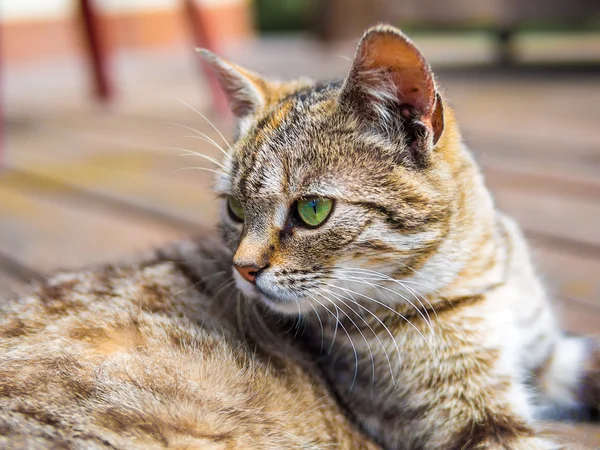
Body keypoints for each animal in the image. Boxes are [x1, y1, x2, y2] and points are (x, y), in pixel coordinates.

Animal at [203, 24, 600, 450]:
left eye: (312, 208)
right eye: (235, 208)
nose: (243, 268)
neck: (480, 279)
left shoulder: (550, 356)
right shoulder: (480, 425)